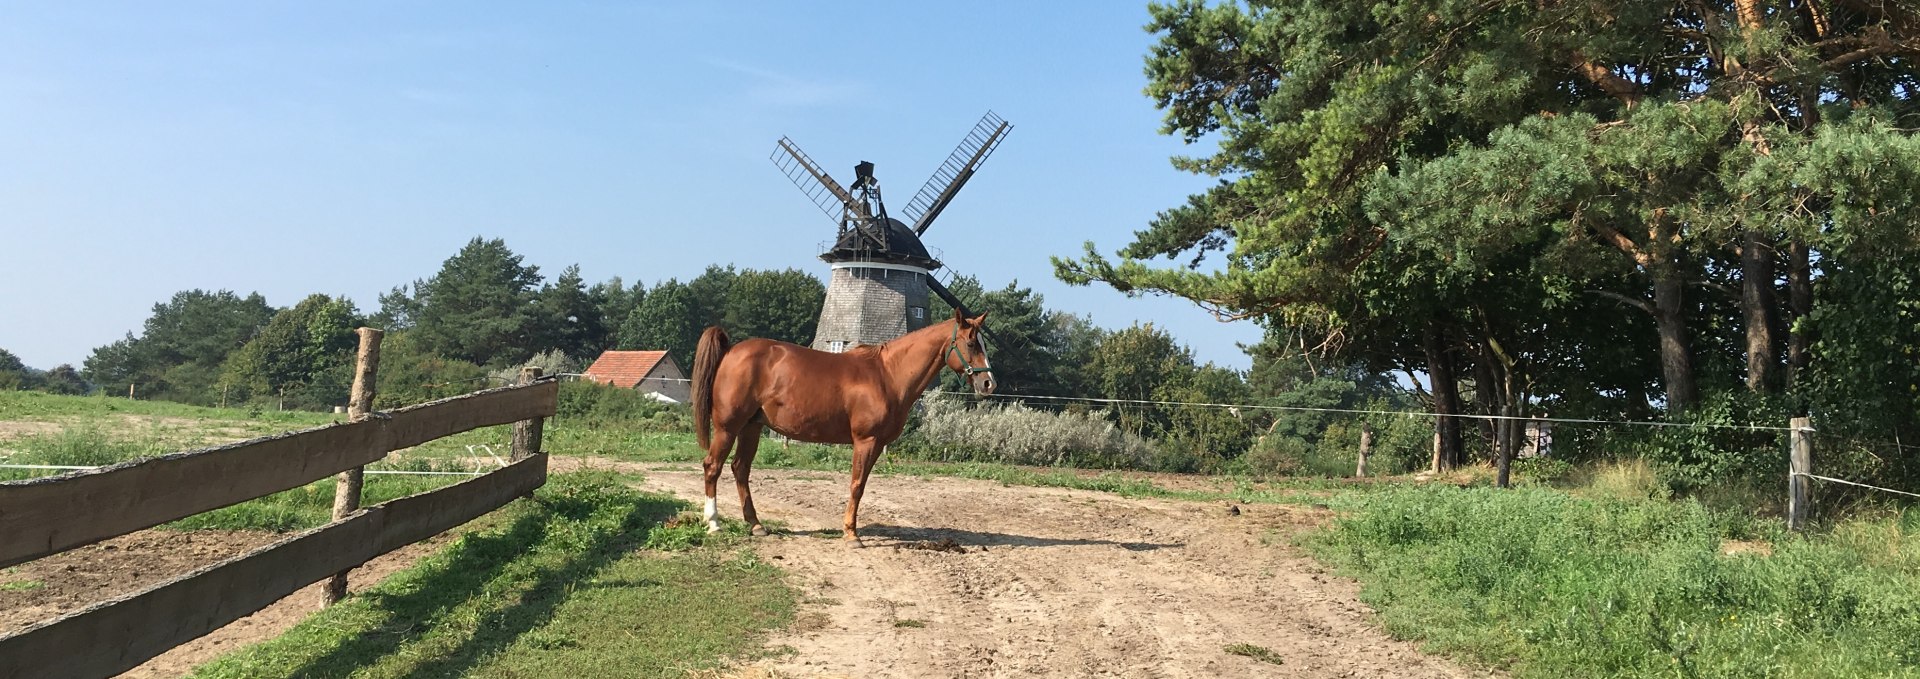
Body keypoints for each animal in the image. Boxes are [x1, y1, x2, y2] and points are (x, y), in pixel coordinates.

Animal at [691, 310, 990, 544]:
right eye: (971, 343)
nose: (989, 383)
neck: (887, 375)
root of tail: (730, 350)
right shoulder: (866, 440)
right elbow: (856, 485)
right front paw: (851, 534)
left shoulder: (877, 444)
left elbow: (861, 485)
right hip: (728, 427)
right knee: (712, 467)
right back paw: (714, 523)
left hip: (751, 428)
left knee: (740, 468)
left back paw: (755, 525)